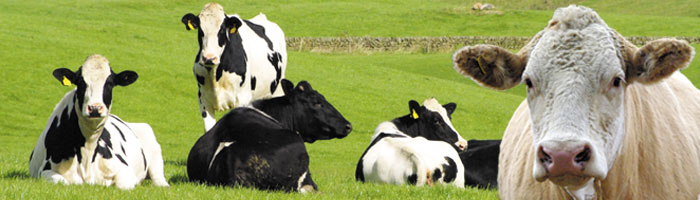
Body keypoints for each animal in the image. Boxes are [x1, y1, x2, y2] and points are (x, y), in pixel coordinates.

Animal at [27, 54, 171, 189]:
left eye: (110, 83)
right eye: (80, 82)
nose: (95, 108)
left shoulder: (125, 170)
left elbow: (123, 184)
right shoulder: (44, 171)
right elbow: (62, 181)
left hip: (155, 154)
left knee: (159, 179)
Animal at [183, 3, 290, 132]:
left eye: (222, 29)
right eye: (200, 29)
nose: (209, 58)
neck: (216, 76)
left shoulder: (242, 99)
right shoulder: (203, 99)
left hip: (277, 91)